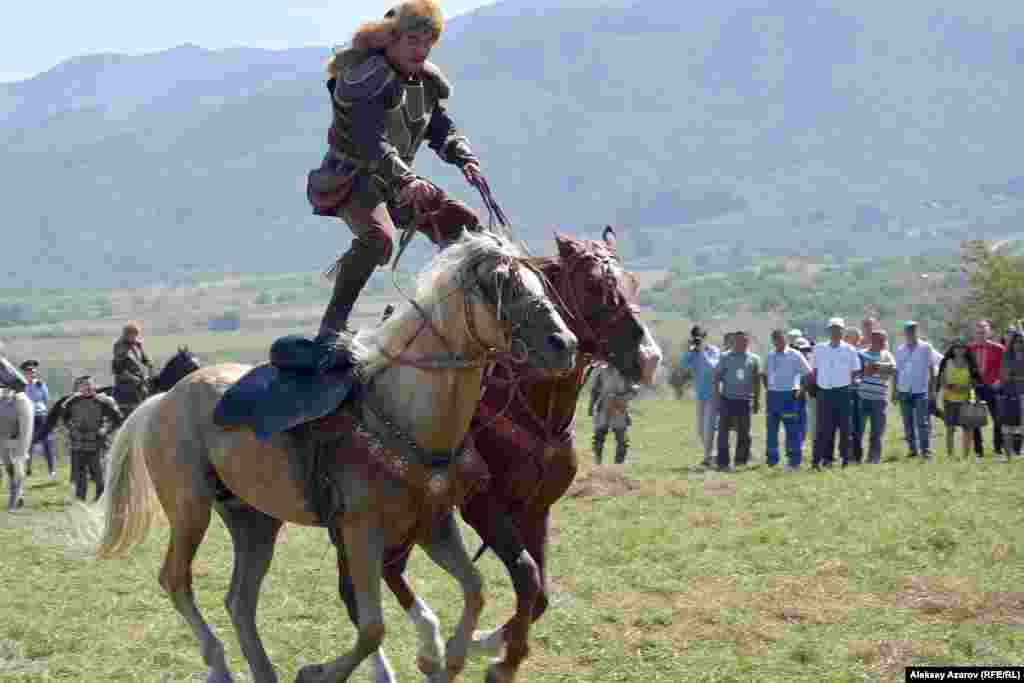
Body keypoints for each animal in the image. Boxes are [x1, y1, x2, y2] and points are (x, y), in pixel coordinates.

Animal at [79, 232, 577, 683]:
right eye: (501, 283)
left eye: (541, 282)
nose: (565, 344)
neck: (404, 410)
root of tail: (161, 401)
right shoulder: (361, 533)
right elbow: (372, 626)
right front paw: (319, 672)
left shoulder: (434, 526)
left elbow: (475, 588)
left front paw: (451, 659)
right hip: (190, 509)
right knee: (176, 580)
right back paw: (219, 665)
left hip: (254, 520)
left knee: (239, 599)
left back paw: (264, 671)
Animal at [360, 228, 663, 683]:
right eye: (595, 286)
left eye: (633, 283)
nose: (649, 358)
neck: (532, 407)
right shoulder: (483, 508)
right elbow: (527, 575)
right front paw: (501, 658)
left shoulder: (537, 510)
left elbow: (538, 592)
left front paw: (486, 642)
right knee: (382, 568)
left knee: (390, 568)